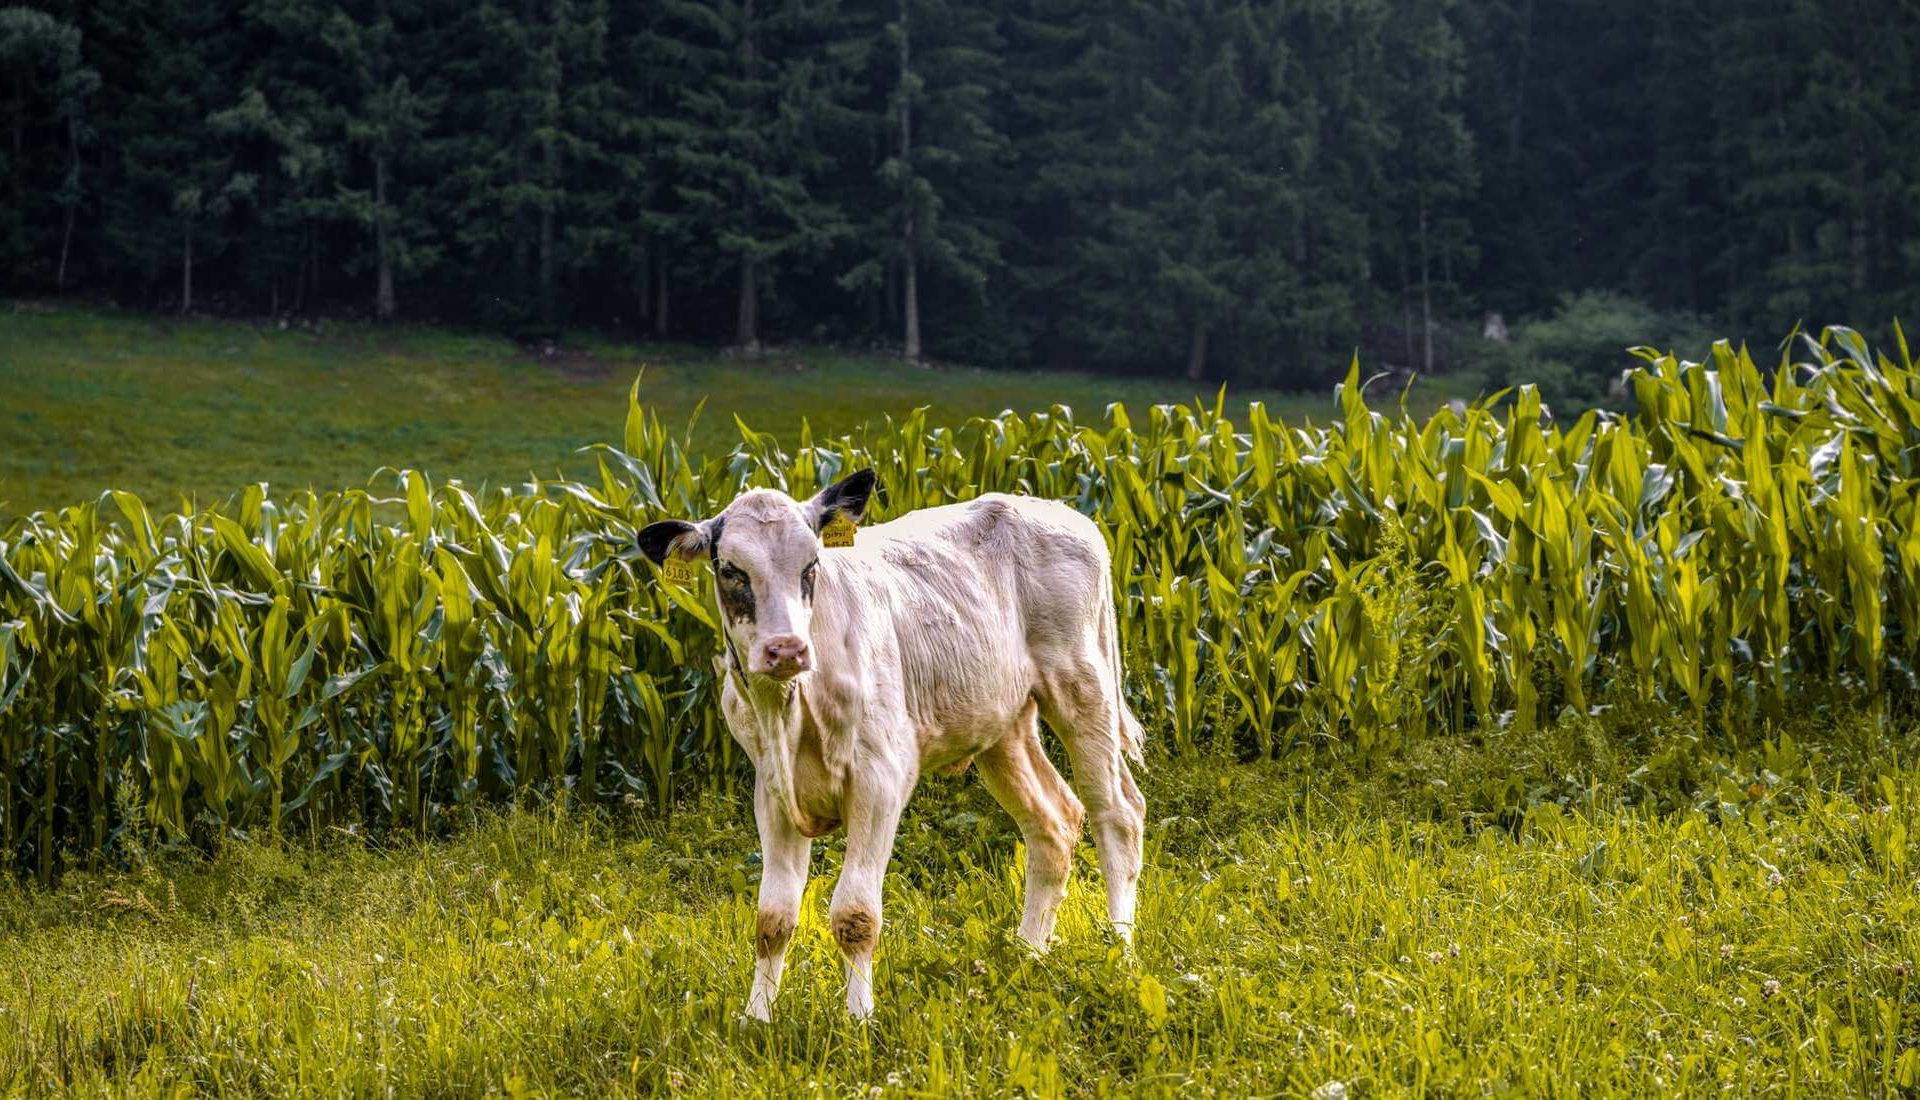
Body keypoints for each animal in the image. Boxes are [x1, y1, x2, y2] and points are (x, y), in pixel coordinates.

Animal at [637, 472, 1144, 1021]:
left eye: (811, 565)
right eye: (731, 570)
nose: (786, 649)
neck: (791, 707)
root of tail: (1060, 513)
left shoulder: (881, 777)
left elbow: (855, 914)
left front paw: (858, 1017)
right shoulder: (771, 790)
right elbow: (772, 918)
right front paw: (757, 1017)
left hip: (1083, 688)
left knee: (1118, 814)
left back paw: (1120, 951)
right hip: (1002, 725)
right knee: (1054, 822)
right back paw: (1028, 951)